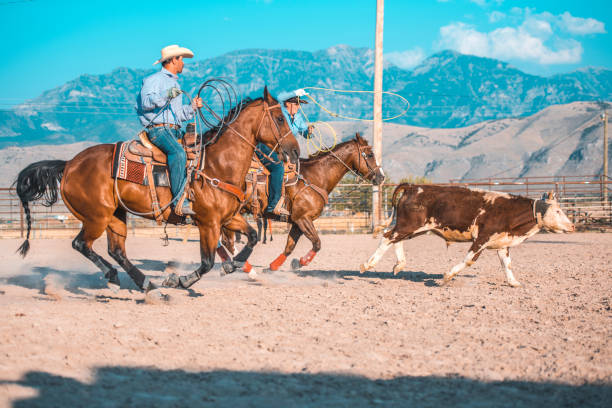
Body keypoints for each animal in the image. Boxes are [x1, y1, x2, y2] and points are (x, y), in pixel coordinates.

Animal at [15, 87, 300, 296]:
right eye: (279, 118)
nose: (295, 150)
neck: (219, 163)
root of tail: (69, 165)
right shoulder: (208, 222)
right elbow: (207, 262)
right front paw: (179, 281)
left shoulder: (229, 217)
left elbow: (251, 237)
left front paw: (235, 264)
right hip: (97, 217)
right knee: (81, 244)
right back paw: (119, 278)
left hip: (116, 215)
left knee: (116, 251)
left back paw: (144, 284)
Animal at [225, 135, 388, 274]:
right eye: (370, 154)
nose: (381, 177)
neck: (315, 176)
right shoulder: (303, 219)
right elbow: (317, 243)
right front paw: (300, 262)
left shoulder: (296, 222)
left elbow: (289, 247)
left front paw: (273, 267)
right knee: (228, 241)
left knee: (228, 241)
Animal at [358, 185, 572, 286]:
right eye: (558, 211)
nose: (572, 226)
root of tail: (412, 186)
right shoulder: (482, 238)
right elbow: (469, 260)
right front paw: (447, 276)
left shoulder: (502, 243)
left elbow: (507, 264)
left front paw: (514, 283)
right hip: (409, 225)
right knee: (387, 236)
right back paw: (367, 264)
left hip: (414, 228)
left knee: (395, 240)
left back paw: (399, 265)